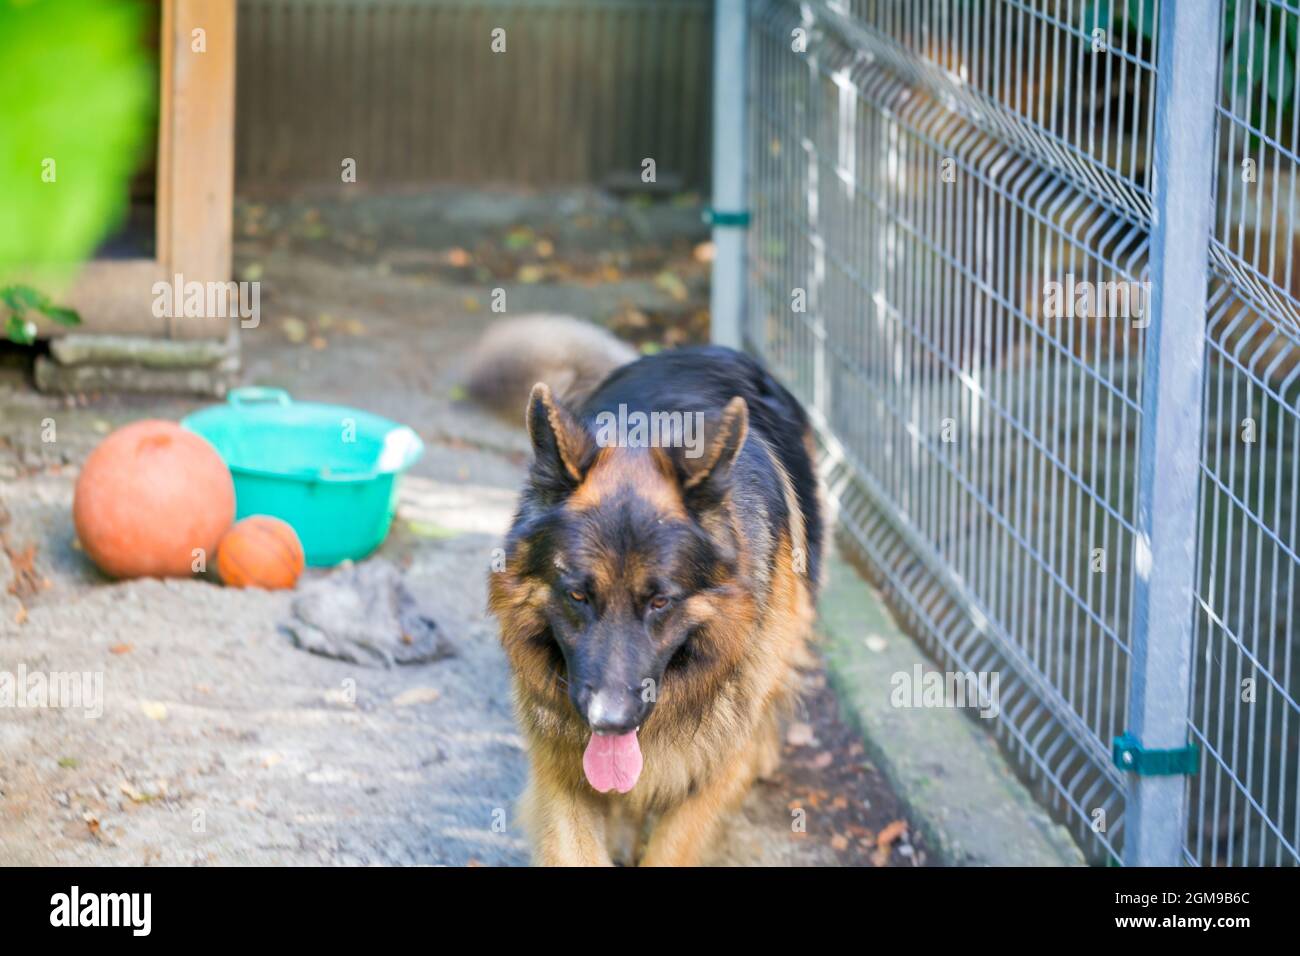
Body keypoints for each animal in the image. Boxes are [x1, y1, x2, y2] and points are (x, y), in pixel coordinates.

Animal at [488, 338, 821, 868]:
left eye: (661, 601)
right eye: (577, 594)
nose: (608, 720)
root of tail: (709, 347)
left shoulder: (713, 773)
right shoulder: (560, 771)